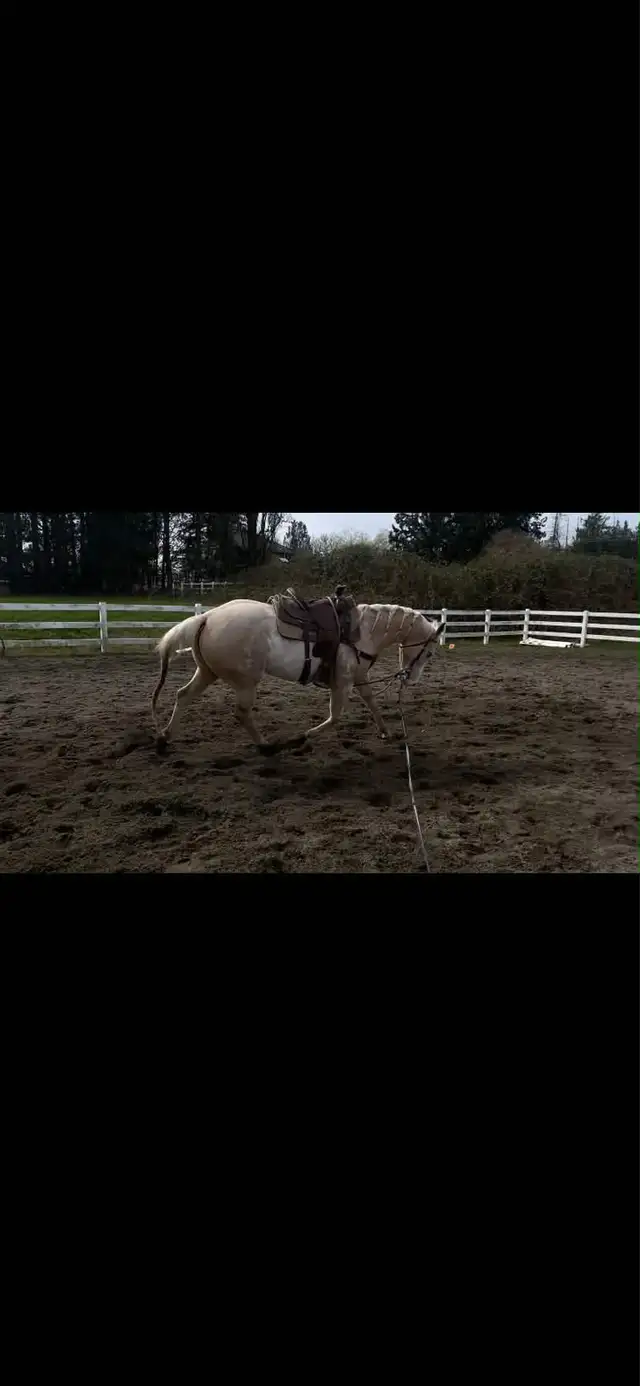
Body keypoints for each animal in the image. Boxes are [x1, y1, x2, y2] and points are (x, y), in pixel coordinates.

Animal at [151, 594, 443, 754]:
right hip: (246, 682)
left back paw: (164, 738)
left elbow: (371, 702)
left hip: (208, 672)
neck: (362, 632)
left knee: (183, 696)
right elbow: (335, 717)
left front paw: (386, 732)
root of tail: (207, 617)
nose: (410, 678)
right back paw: (266, 746)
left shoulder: (359, 678)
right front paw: (304, 736)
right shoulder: (343, 682)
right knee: (242, 713)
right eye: (429, 652)